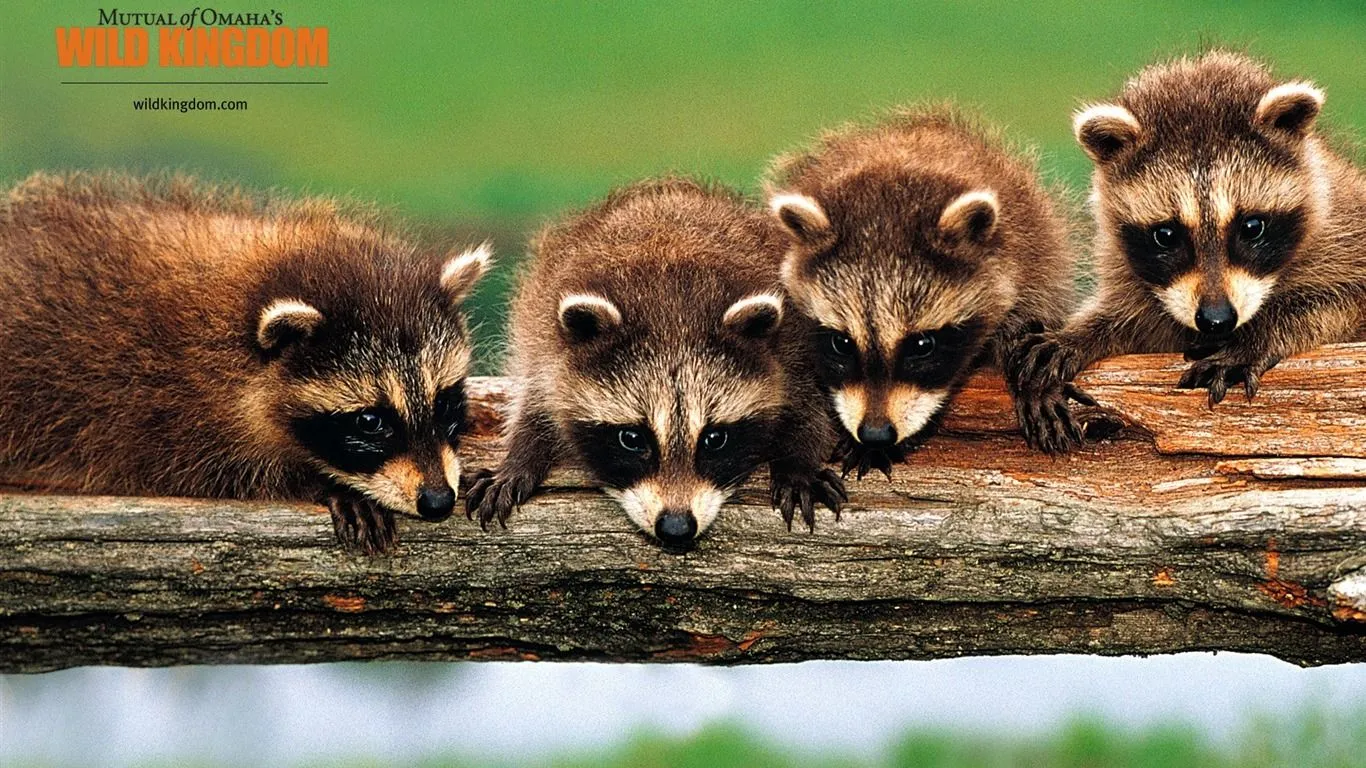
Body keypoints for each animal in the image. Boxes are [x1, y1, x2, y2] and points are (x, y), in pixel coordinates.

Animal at [0, 172, 491, 554]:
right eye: (370, 421)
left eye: (445, 403)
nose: (437, 501)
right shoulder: (167, 411)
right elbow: (223, 472)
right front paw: (323, 483)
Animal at [464, 177, 845, 549]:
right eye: (632, 438)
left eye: (714, 439)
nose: (676, 527)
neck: (672, 310)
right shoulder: (545, 348)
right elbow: (535, 404)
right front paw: (519, 458)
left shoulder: (791, 346)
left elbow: (808, 407)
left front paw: (799, 462)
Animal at [1014, 50, 1366, 454]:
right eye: (1166, 235)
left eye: (1252, 227)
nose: (1217, 320)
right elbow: (1130, 320)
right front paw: (1078, 334)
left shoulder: (1346, 234)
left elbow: (1340, 301)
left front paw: (1257, 335)